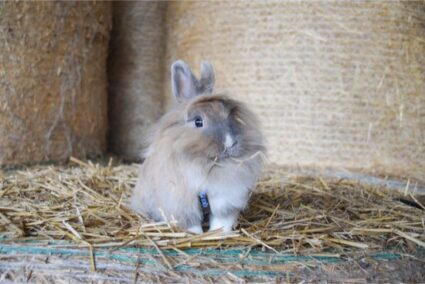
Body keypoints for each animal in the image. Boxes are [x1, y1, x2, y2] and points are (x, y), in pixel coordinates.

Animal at [131, 59, 266, 233]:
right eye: (198, 121)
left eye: (229, 117)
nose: (230, 143)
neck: (207, 166)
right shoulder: (181, 205)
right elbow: (192, 225)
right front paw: (196, 234)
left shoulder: (226, 201)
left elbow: (221, 222)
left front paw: (218, 234)